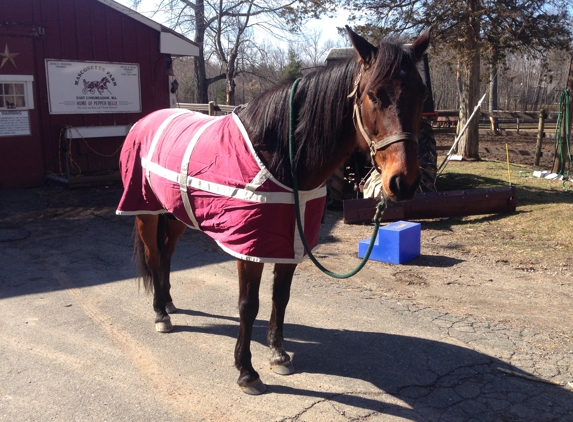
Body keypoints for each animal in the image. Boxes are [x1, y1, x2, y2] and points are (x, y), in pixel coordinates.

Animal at [116, 27, 428, 396]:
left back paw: (167, 302)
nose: (403, 182)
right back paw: (160, 315)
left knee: (166, 254)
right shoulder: (249, 247)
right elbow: (248, 305)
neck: (281, 156)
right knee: (153, 256)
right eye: (374, 95)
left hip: (177, 213)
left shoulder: (290, 242)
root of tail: (145, 121)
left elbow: (281, 296)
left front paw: (278, 355)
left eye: (421, 94)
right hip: (145, 211)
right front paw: (246, 371)